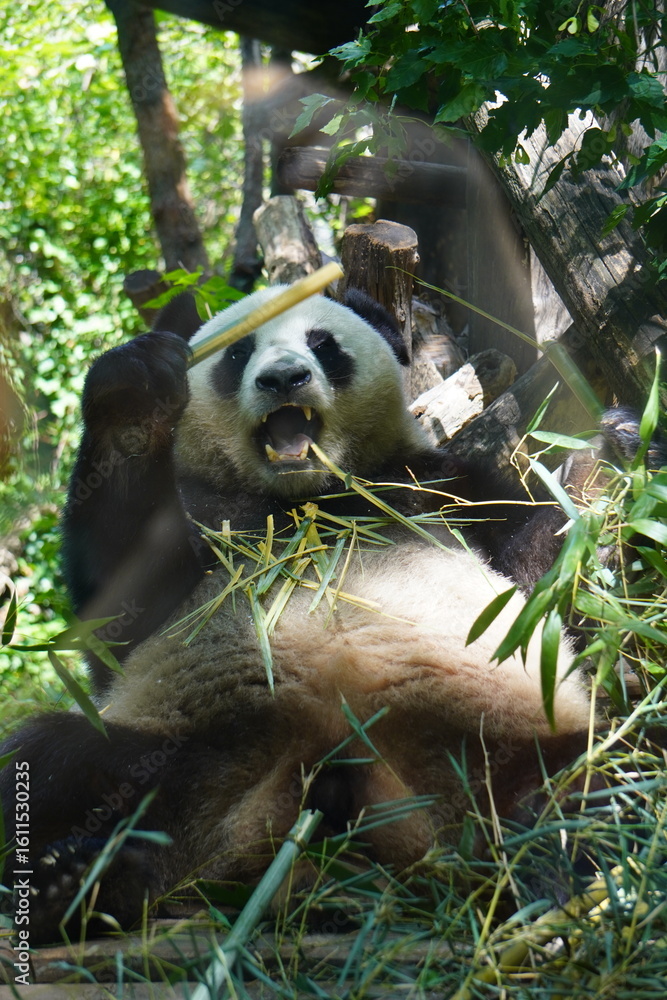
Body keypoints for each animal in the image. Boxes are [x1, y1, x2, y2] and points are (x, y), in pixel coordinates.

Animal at [0, 285, 594, 945]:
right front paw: (135, 394)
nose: (284, 377)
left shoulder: (441, 488)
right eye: (239, 352)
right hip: (186, 753)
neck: (307, 496)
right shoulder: (208, 511)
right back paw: (83, 885)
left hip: (495, 739)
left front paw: (609, 455)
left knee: (601, 771)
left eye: (323, 344)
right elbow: (120, 607)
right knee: (51, 761)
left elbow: (536, 571)